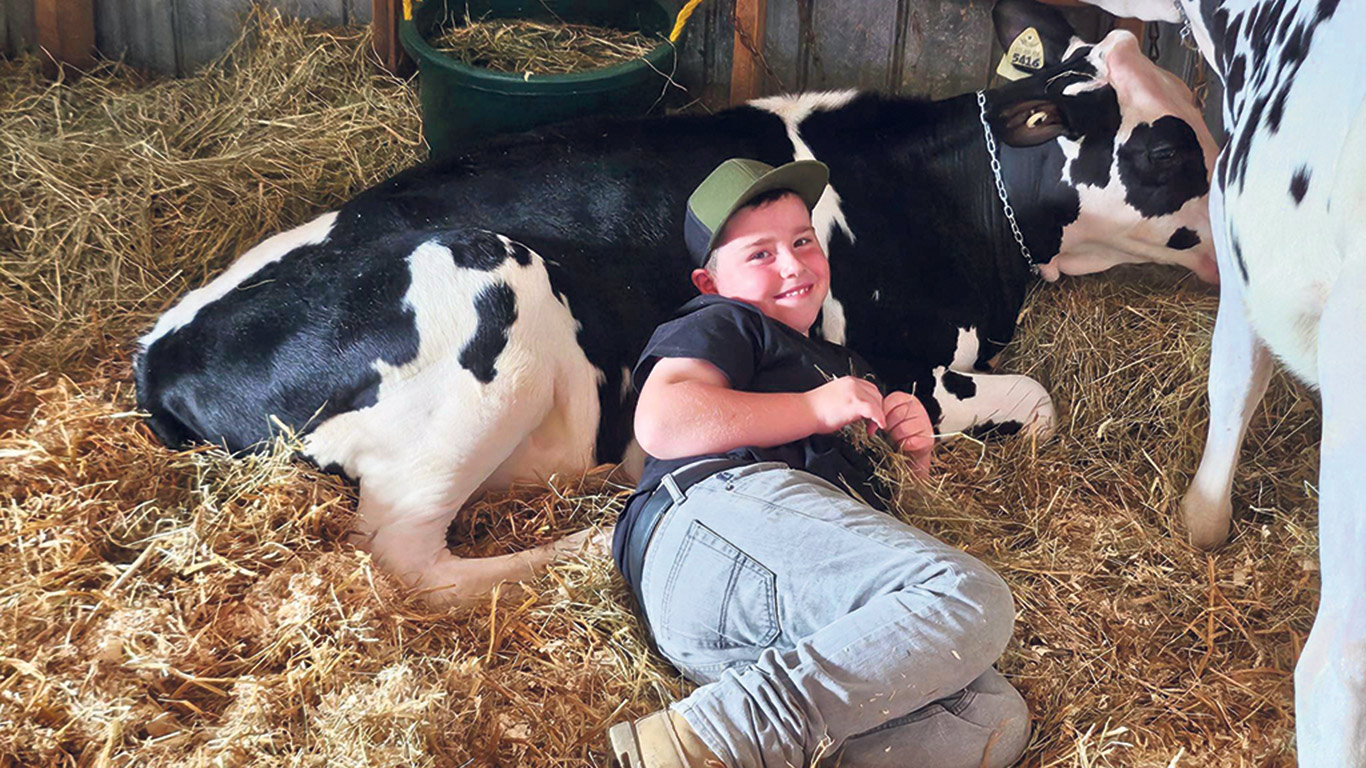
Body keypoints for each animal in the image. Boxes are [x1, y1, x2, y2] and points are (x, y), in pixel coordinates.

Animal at [135, 2, 1218, 606]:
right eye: (1172, 150)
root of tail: (162, 351)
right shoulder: (901, 368)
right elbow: (1036, 403)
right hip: (491, 291)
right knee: (407, 558)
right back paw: (570, 544)